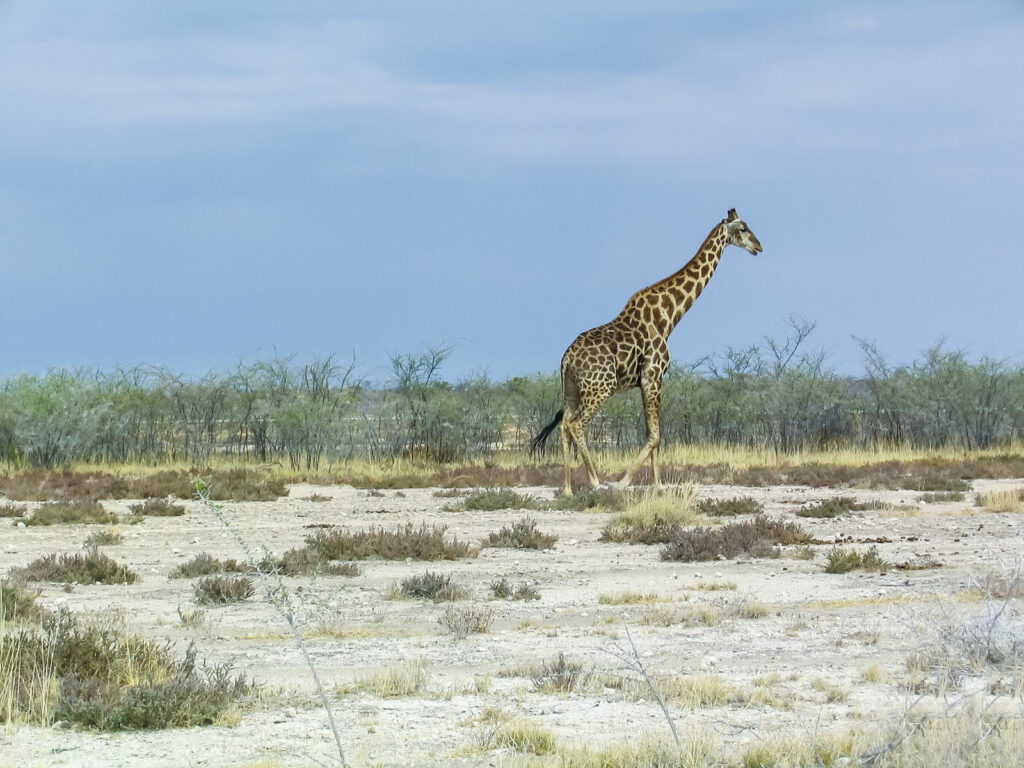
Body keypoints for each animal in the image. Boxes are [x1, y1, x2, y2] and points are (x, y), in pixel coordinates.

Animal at [536, 207, 761, 495]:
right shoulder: (654, 375)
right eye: (743, 228)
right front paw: (622, 482)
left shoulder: (646, 380)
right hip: (600, 388)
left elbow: (651, 435)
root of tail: (566, 359)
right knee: (576, 424)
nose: (758, 246)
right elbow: (655, 435)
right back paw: (596, 482)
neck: (669, 318)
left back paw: (567, 489)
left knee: (564, 425)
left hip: (572, 390)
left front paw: (658, 484)